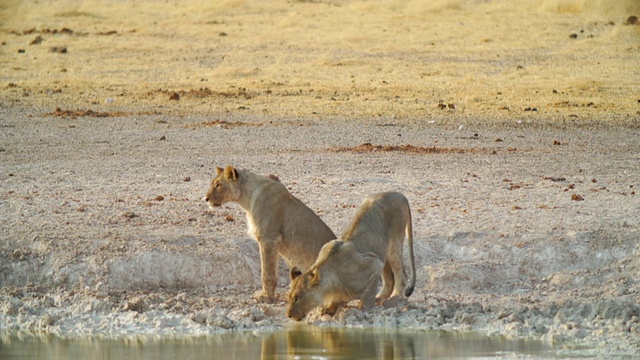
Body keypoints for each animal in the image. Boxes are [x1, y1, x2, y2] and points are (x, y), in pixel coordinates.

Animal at [205, 167, 338, 302]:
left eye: (218, 185)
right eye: (212, 184)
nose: (206, 198)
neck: (247, 199)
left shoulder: (269, 238)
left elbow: (267, 272)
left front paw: (265, 296)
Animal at [286, 191, 418, 320]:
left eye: (297, 297)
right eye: (289, 297)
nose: (288, 315)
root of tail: (399, 194)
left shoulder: (374, 264)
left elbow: (367, 296)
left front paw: (362, 309)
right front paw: (330, 308)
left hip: (393, 246)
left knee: (401, 274)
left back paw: (394, 297)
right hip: (381, 250)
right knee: (390, 278)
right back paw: (381, 297)